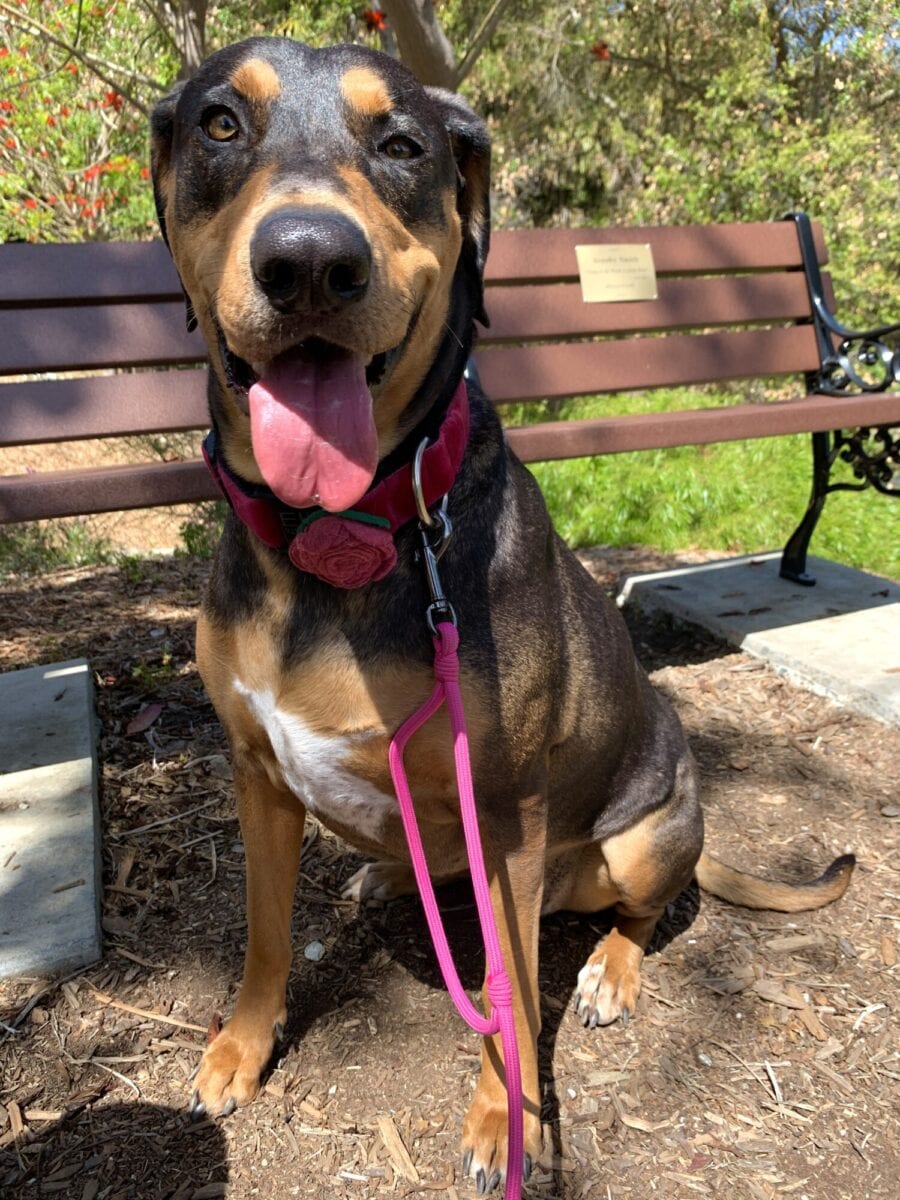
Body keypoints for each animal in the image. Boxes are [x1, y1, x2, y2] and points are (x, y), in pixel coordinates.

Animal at [151, 35, 854, 1190]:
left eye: (402, 145)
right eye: (220, 123)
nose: (309, 262)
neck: (345, 528)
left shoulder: (508, 816)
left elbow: (511, 997)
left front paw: (504, 1121)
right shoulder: (255, 773)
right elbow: (262, 935)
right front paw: (240, 1049)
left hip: (641, 838)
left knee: (644, 908)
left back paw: (610, 971)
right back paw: (385, 875)